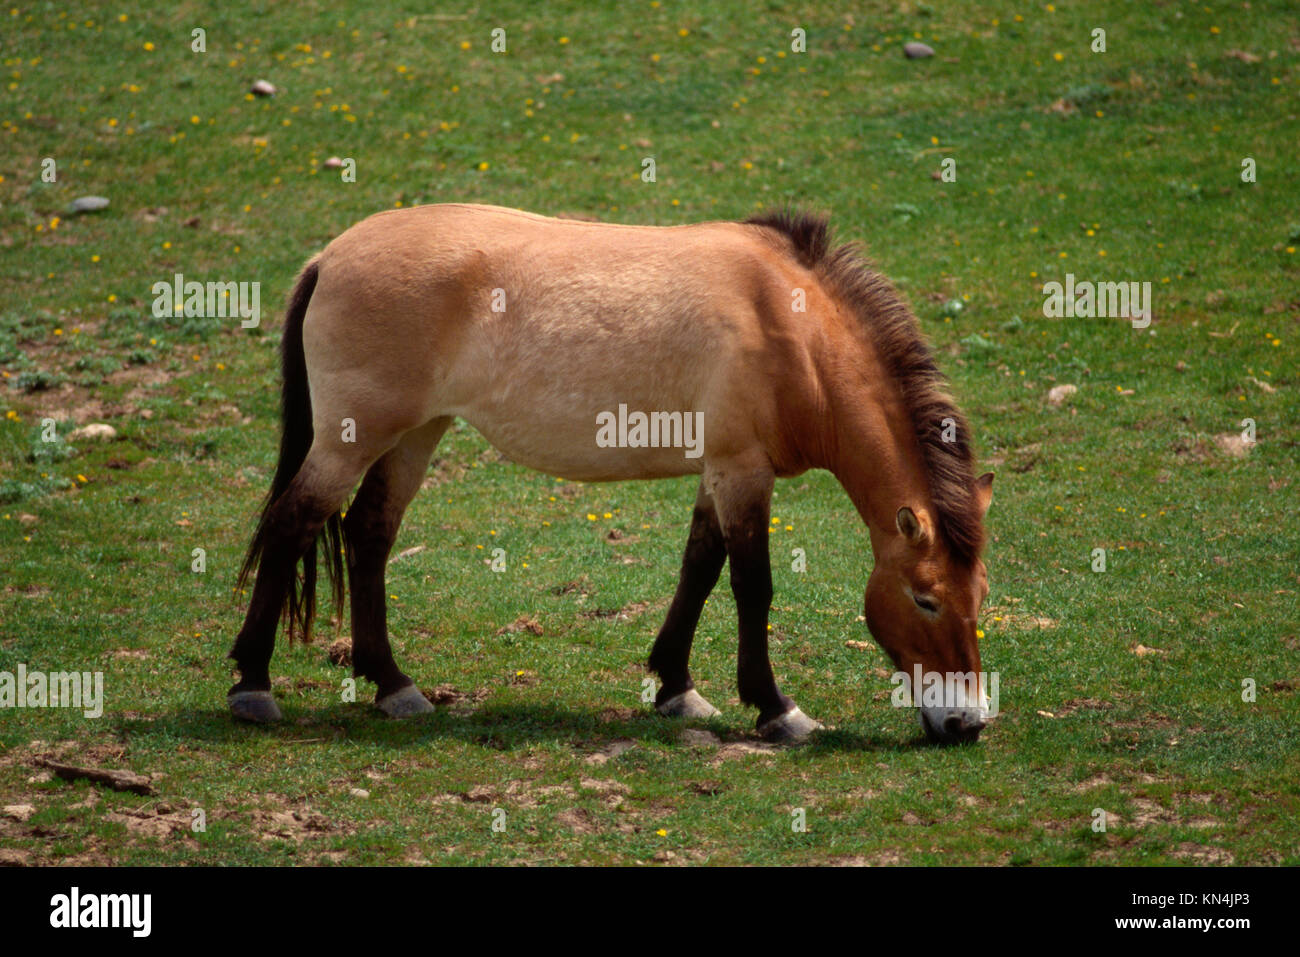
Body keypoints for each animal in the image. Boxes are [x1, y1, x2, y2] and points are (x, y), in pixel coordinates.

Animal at [231, 201, 993, 743]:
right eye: (925, 597)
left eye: (979, 594)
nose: (965, 723)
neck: (791, 326)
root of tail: (329, 257)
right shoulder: (743, 469)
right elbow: (752, 585)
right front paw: (777, 708)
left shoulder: (717, 470)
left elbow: (699, 566)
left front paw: (676, 688)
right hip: (350, 442)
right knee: (292, 524)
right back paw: (252, 686)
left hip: (415, 434)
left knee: (369, 534)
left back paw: (393, 685)